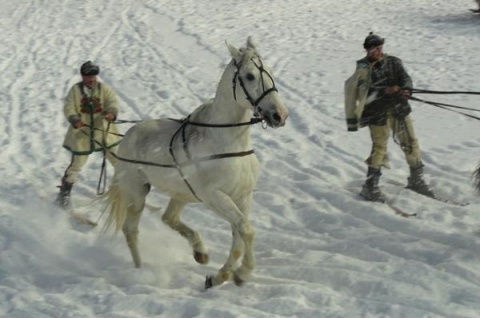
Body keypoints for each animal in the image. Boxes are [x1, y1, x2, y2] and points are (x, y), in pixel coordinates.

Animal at [102, 36, 286, 290]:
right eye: (249, 76)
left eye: (270, 71)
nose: (280, 115)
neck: (227, 143)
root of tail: (128, 135)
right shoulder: (214, 196)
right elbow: (246, 231)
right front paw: (242, 273)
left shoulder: (242, 196)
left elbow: (240, 234)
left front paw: (221, 277)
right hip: (136, 192)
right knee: (131, 230)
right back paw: (141, 271)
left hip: (181, 194)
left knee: (169, 218)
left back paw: (201, 253)